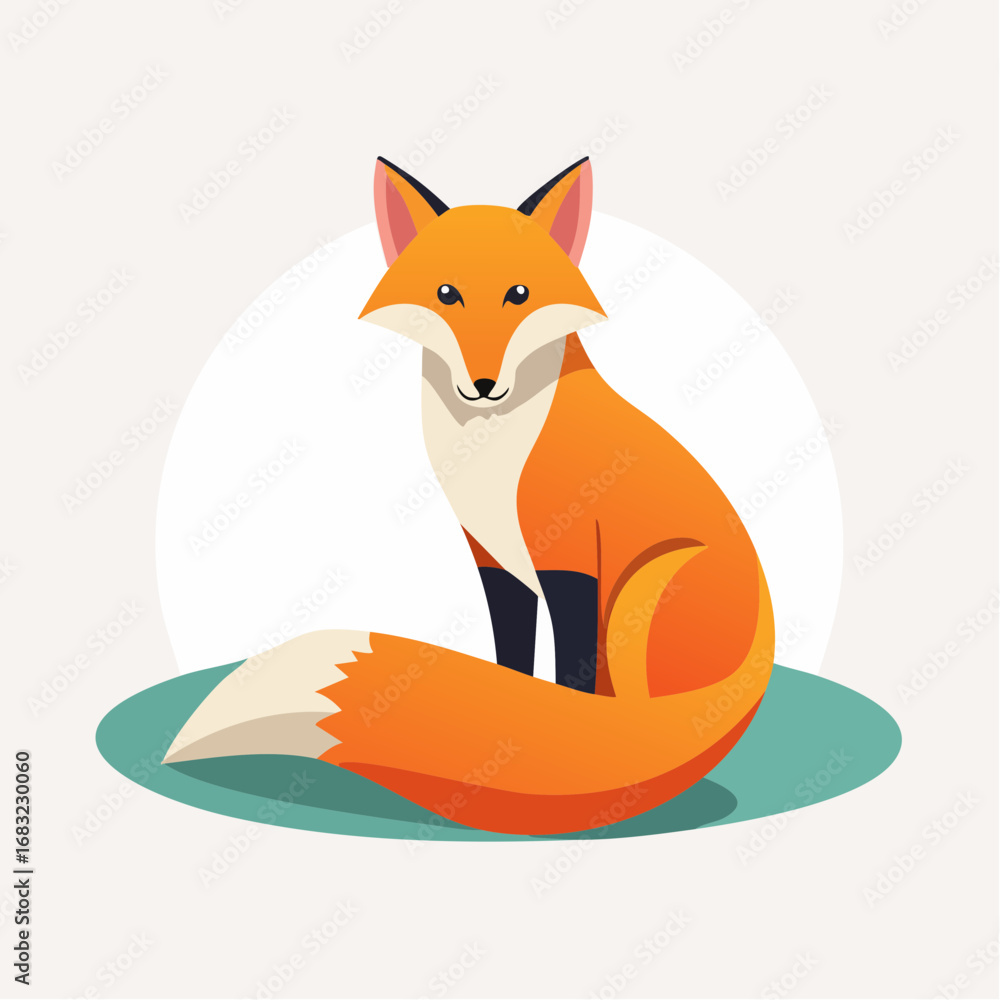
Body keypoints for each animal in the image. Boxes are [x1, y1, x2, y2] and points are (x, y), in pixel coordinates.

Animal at [163, 156, 775, 836]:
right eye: (446, 295)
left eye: (520, 295)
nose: (483, 384)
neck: (492, 453)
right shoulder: (493, 558)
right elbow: (513, 666)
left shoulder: (569, 562)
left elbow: (569, 683)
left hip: (643, 589)